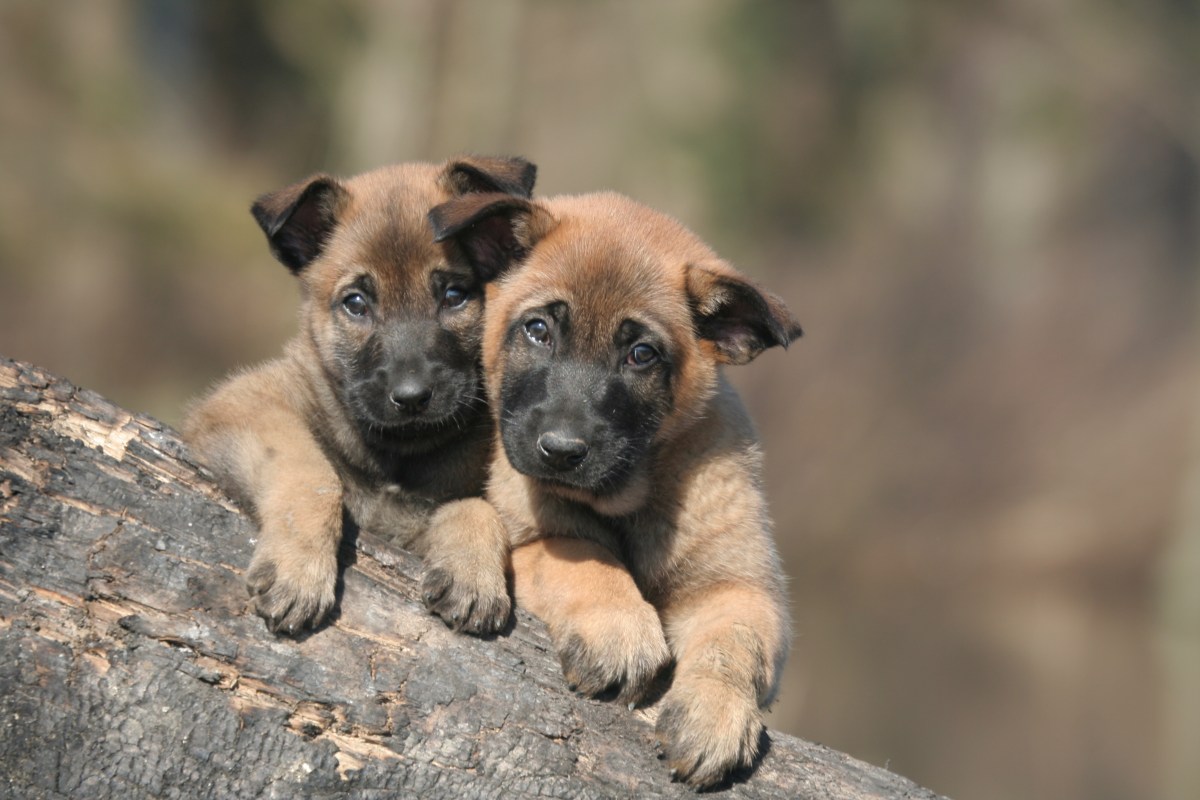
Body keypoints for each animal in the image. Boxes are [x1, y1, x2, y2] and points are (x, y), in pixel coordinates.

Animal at [183, 155, 540, 638]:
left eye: (454, 295)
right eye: (356, 304)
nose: (411, 397)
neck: (395, 458)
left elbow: (476, 507)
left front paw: (472, 571)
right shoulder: (242, 403)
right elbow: (311, 472)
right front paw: (299, 571)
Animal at [427, 189, 801, 786]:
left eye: (640, 354)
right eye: (538, 330)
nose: (560, 451)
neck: (624, 499)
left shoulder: (741, 589)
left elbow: (734, 643)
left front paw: (715, 712)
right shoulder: (535, 537)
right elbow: (584, 556)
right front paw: (620, 630)